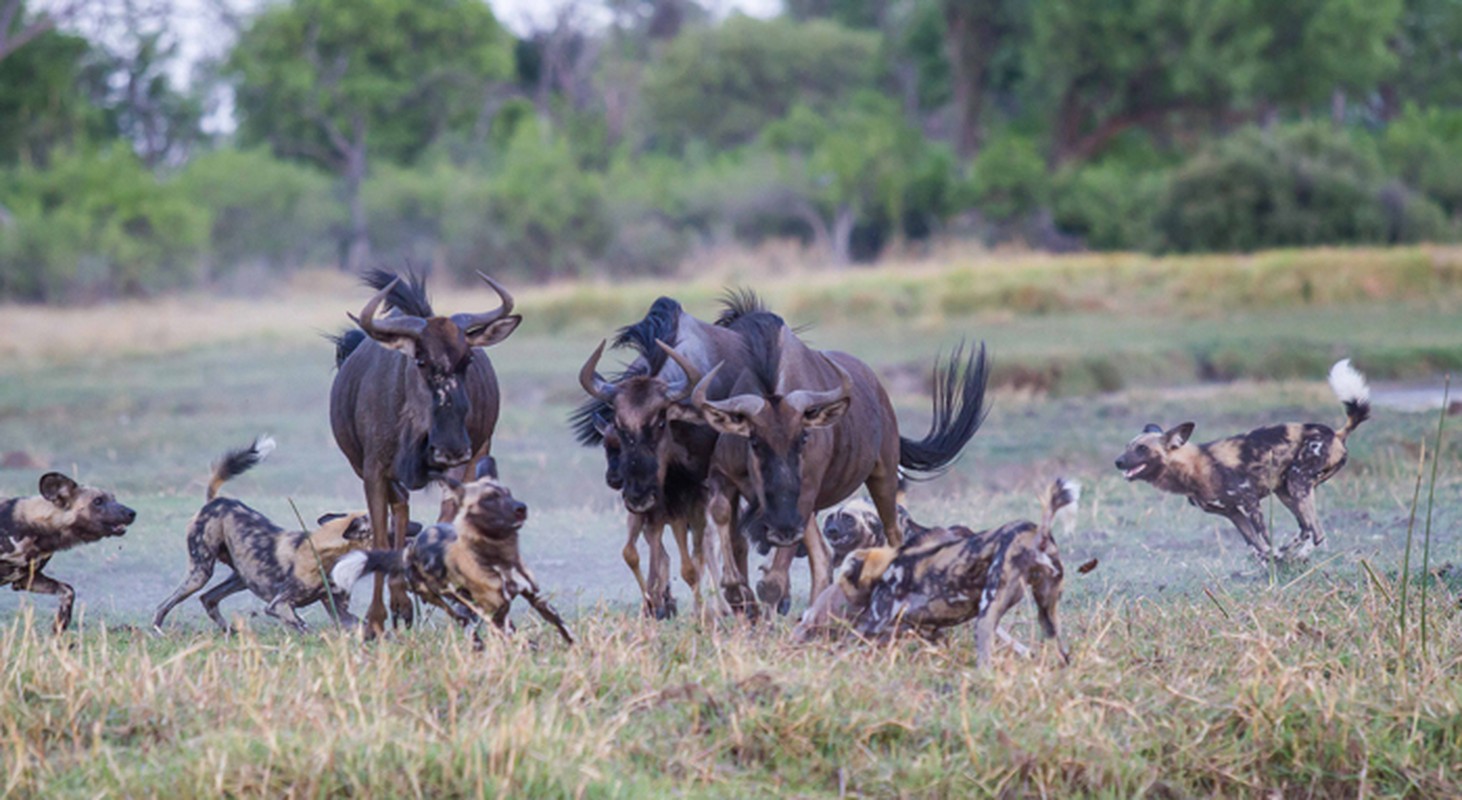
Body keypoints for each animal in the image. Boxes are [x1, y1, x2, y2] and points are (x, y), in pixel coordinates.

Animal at [0, 470, 135, 631]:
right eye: (97, 501)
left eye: (114, 498)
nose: (132, 513)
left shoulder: (25, 579)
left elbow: (69, 590)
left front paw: (60, 625)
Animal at [149, 438, 374, 631]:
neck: (327, 553)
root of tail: (216, 502)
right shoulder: (277, 605)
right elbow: (304, 627)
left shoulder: (340, 612)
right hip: (200, 574)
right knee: (164, 605)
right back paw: (158, 632)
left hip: (240, 577)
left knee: (208, 598)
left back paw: (230, 632)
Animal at [795, 479, 1081, 666]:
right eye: (831, 518)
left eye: (847, 518)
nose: (830, 529)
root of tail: (1037, 535)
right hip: (1045, 612)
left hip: (989, 612)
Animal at [1116, 359, 1368, 561]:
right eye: (1127, 447)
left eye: (1142, 449)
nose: (1117, 462)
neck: (1193, 468)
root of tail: (1336, 433)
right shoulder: (1232, 513)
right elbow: (1255, 546)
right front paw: (1268, 563)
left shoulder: (1250, 503)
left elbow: (1264, 539)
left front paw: (1274, 563)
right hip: (1286, 490)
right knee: (1310, 530)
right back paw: (1294, 554)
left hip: (1297, 484)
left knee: (1312, 530)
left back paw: (1294, 555)